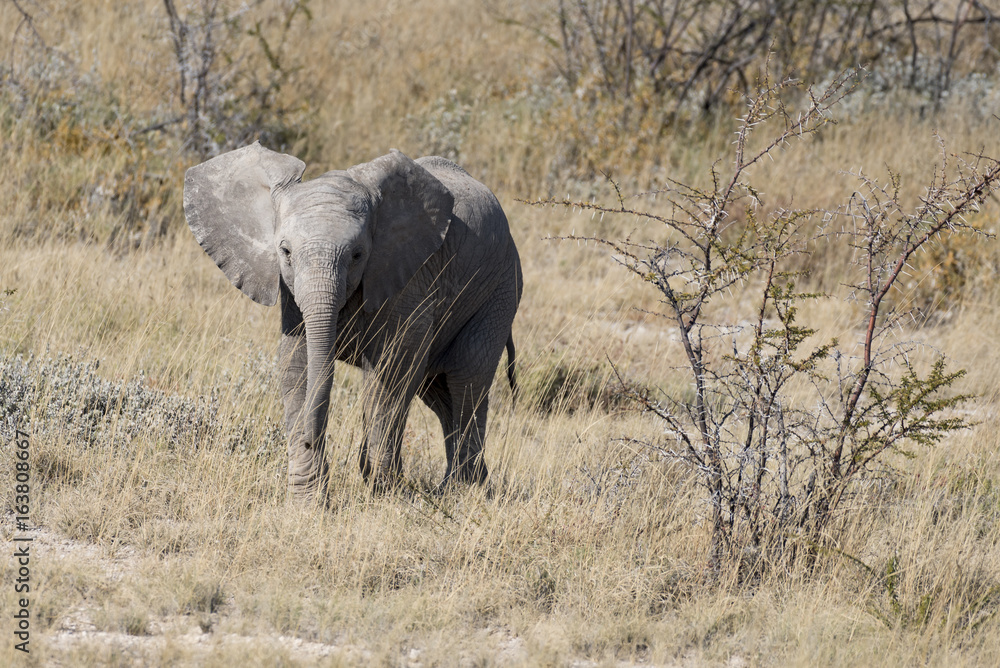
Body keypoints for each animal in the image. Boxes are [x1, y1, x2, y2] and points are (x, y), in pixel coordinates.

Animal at [183, 142, 521, 500]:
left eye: (358, 255)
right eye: (285, 252)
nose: (310, 441)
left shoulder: (409, 274)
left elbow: (391, 368)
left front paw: (384, 491)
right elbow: (297, 364)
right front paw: (308, 498)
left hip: (500, 290)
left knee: (466, 378)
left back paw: (461, 491)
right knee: (438, 392)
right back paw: (466, 486)